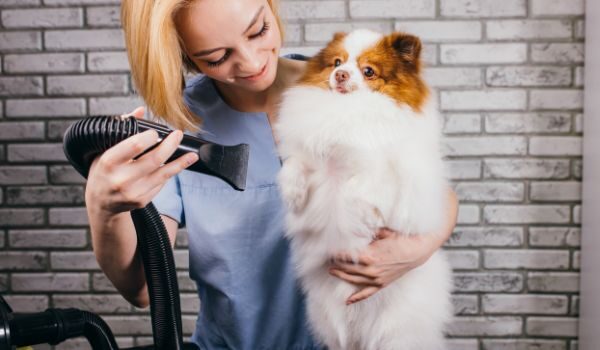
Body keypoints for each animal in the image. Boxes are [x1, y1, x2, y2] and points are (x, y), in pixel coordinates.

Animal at [274, 30, 452, 350]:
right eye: (336, 62)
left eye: (368, 71)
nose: (340, 75)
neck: (347, 112)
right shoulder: (314, 159)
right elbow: (296, 164)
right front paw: (293, 193)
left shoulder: (393, 171)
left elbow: (369, 181)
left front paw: (360, 210)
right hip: (332, 326)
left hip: (396, 334)